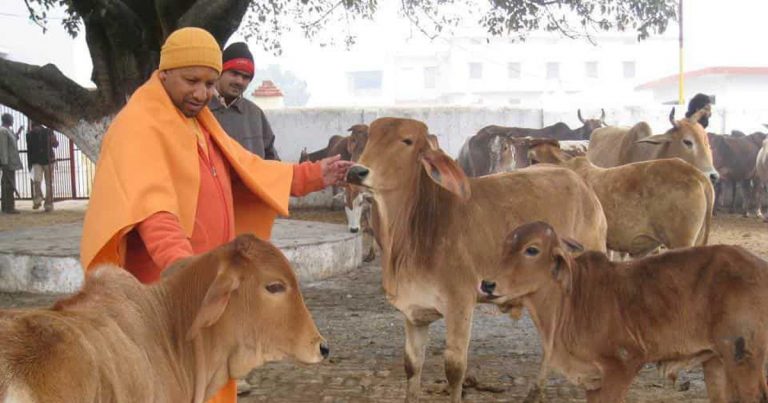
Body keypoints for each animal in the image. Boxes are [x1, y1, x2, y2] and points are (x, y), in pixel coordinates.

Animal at [346, 117, 607, 402]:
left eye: (407, 140)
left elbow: (454, 369)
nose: (356, 171)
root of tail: (582, 185)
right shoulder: (414, 310)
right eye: (369, 137)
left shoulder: (460, 303)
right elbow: (412, 366)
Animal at [481, 221, 768, 403]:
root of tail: (760, 266)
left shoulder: (622, 364)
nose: (487, 284)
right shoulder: (593, 380)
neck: (570, 301)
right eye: (504, 247)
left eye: (532, 249)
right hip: (716, 361)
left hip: (742, 355)